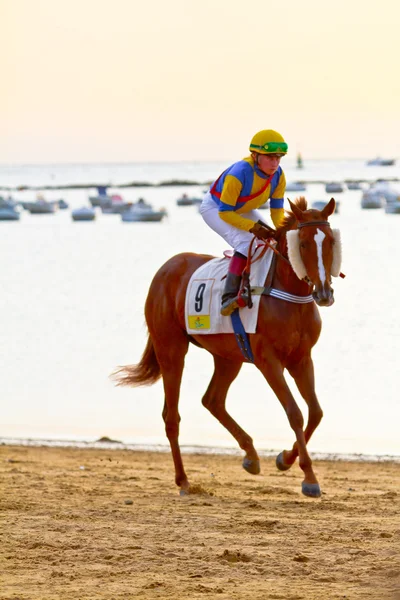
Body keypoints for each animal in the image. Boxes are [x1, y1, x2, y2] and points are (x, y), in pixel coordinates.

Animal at [115, 197, 340, 496]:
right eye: (302, 244)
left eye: (330, 241)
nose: (324, 293)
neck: (285, 293)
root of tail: (166, 268)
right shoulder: (268, 361)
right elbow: (294, 413)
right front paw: (309, 478)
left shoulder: (301, 357)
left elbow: (315, 412)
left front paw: (285, 459)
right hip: (171, 348)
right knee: (171, 417)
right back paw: (183, 480)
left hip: (228, 356)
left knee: (212, 400)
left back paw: (251, 456)